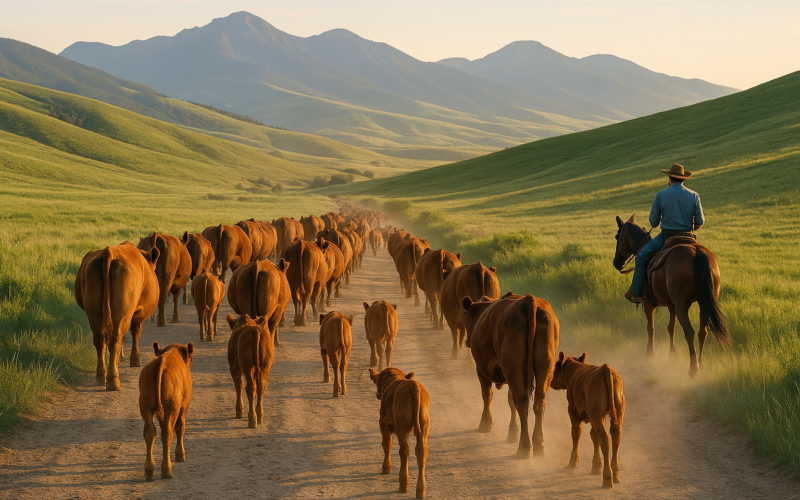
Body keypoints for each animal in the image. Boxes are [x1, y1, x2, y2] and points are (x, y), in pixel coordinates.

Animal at [75, 242, 160, 390]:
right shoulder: (137, 315)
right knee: (115, 340)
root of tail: (109, 252)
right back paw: (113, 380)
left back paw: (101, 376)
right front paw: (135, 359)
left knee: (100, 340)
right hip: (122, 313)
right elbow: (136, 333)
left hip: (94, 312)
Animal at [139, 341, 194, 481]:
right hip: (171, 407)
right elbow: (180, 426)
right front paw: (180, 455)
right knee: (167, 432)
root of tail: (161, 362)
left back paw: (149, 470)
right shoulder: (184, 406)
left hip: (146, 405)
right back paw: (167, 469)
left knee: (150, 432)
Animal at [368, 367, 430, 499]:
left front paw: (386, 467)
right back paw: (420, 490)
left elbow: (387, 443)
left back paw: (403, 483)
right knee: (421, 451)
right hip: (424, 423)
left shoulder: (383, 422)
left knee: (404, 450)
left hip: (402, 426)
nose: (377, 394)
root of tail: (413, 386)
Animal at [462, 293, 560, 458]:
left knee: (522, 401)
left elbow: (487, 395)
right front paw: (512, 432)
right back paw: (539, 444)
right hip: (544, 364)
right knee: (539, 401)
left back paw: (524, 447)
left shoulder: (481, 369)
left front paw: (485, 424)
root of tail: (529, 299)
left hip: (513, 365)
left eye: (465, 317)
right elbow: (509, 400)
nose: (467, 341)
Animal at [550, 352, 625, 488]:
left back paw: (607, 478)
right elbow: (593, 436)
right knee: (615, 436)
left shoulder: (573, 409)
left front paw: (573, 461)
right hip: (615, 412)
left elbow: (576, 433)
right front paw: (596, 466)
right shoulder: (596, 416)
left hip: (596, 414)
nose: (550, 381)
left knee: (605, 439)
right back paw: (615, 474)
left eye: (555, 367)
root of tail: (605, 368)